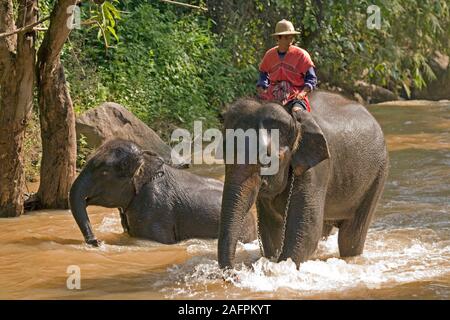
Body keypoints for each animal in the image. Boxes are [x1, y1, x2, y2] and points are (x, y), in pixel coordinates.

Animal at [218, 91, 386, 268]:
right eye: (224, 153)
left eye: (268, 158)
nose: (234, 271)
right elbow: (271, 229)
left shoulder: (317, 168)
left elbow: (307, 231)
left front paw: (281, 267)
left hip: (378, 175)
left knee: (350, 237)